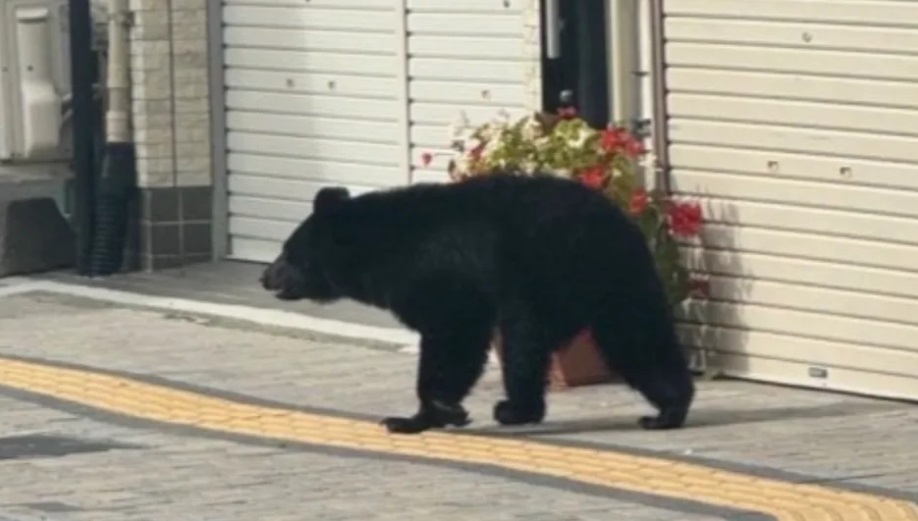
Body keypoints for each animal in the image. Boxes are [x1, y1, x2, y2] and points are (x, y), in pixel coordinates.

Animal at [260, 171, 695, 435]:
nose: (265, 276)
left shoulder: (437, 276)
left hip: (543, 276)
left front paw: (421, 414)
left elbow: (452, 335)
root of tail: (608, 221)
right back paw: (668, 409)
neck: (378, 252)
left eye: (287, 252)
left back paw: (515, 409)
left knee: (525, 339)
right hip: (617, 279)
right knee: (636, 336)